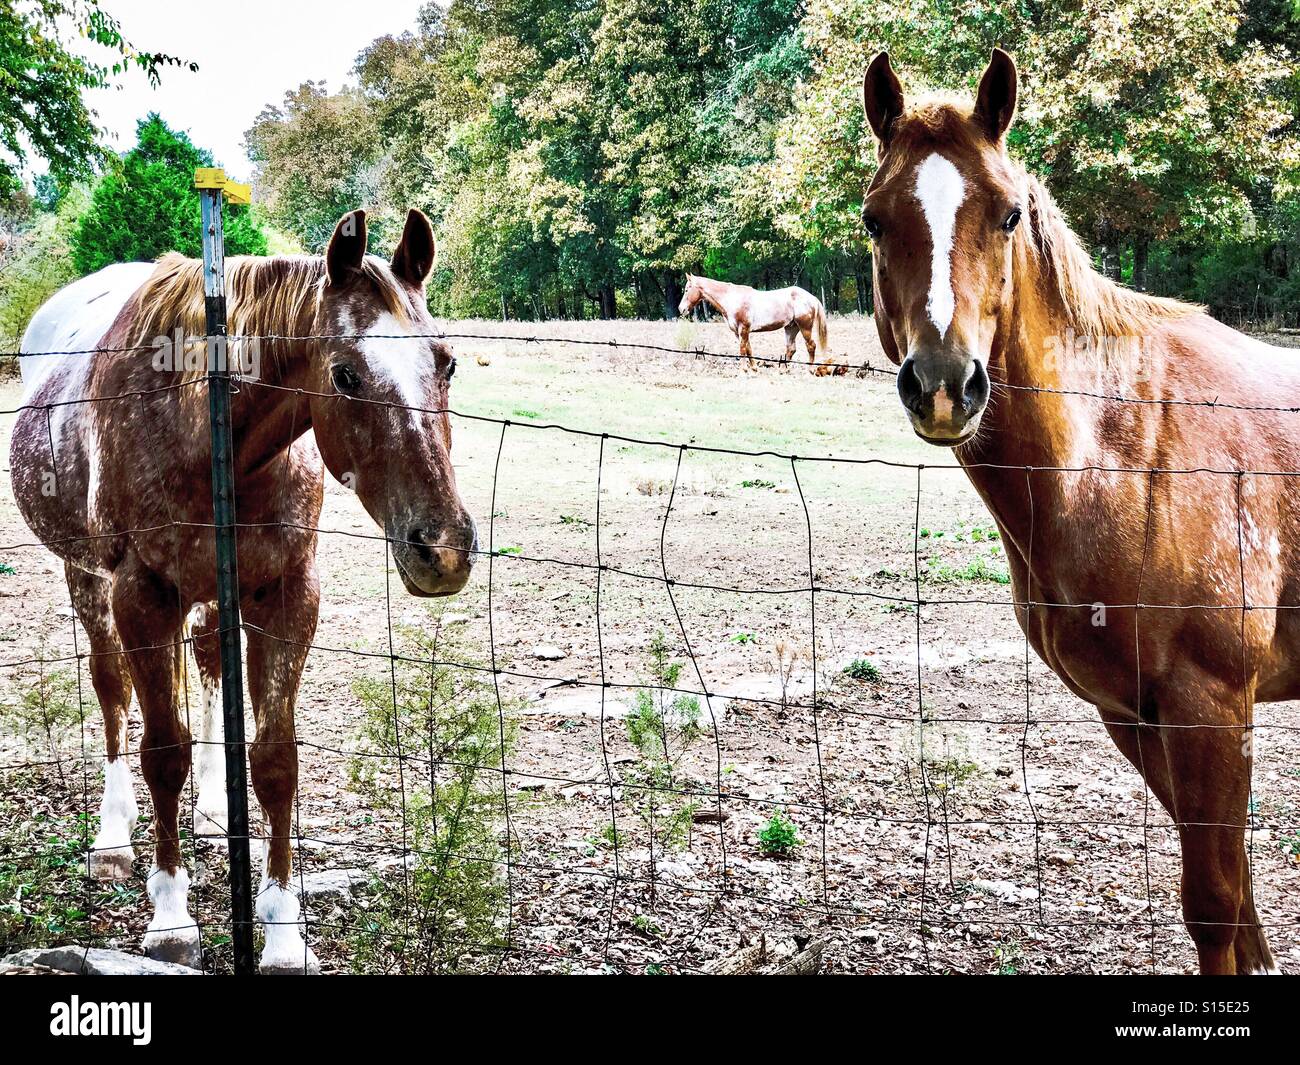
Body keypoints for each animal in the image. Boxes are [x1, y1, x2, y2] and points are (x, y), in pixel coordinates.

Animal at [10, 208, 478, 972]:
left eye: (447, 362)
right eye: (345, 373)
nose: (442, 549)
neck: (205, 430)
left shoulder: (286, 594)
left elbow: (276, 760)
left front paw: (284, 931)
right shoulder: (143, 596)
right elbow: (160, 751)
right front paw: (171, 916)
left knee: (205, 668)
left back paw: (209, 809)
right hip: (88, 581)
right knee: (112, 692)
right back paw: (112, 838)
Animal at [676, 273, 826, 371]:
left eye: (687, 289)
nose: (681, 309)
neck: (732, 298)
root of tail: (811, 297)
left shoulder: (743, 328)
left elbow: (742, 348)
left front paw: (744, 369)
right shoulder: (740, 332)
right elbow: (748, 348)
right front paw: (754, 368)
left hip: (804, 327)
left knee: (811, 346)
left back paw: (810, 370)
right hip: (791, 327)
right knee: (791, 349)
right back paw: (783, 370)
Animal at [857, 45, 1294, 972]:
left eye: (1009, 213)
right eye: (875, 220)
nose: (944, 383)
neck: (1124, 446)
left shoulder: (1211, 707)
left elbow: (1217, 905)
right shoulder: (1135, 713)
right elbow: (1243, 906)